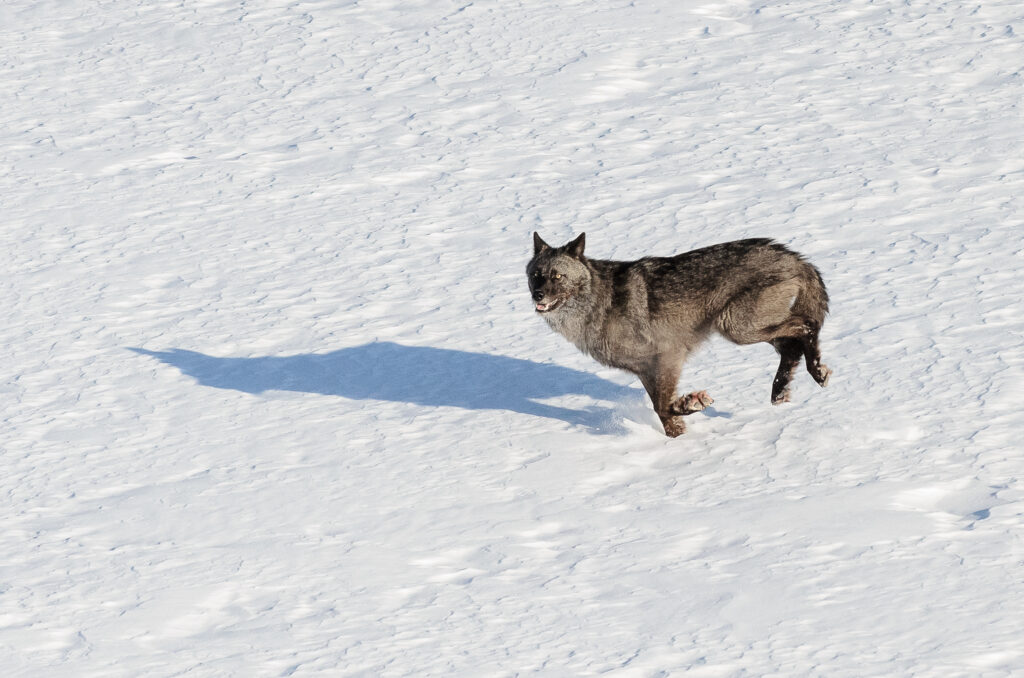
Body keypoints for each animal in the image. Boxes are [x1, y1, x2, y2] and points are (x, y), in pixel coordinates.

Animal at [527, 232, 832, 437]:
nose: (537, 295)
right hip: (748, 327)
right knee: (791, 347)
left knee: (805, 326)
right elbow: (661, 410)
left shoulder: (667, 357)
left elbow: (663, 406)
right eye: (536, 275)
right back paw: (780, 393)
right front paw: (678, 435)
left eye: (557, 276)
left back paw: (816, 371)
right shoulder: (646, 369)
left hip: (736, 326)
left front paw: (691, 405)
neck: (599, 302)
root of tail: (793, 256)